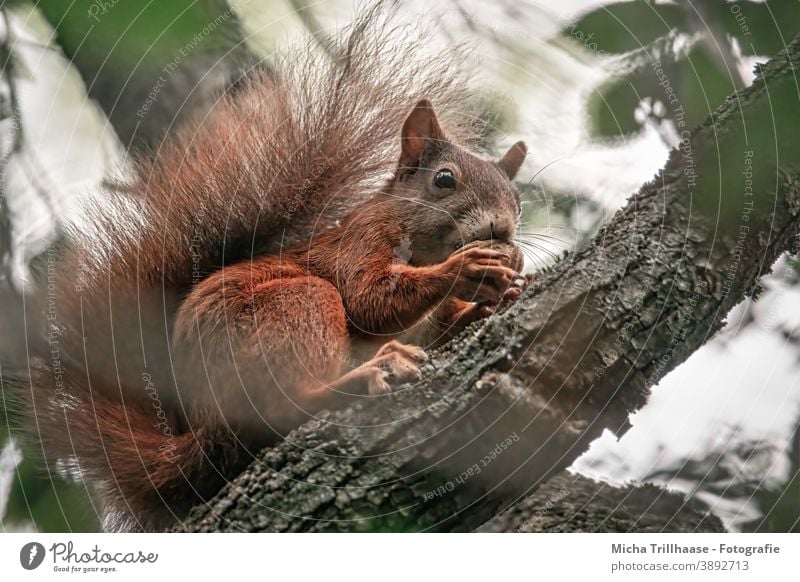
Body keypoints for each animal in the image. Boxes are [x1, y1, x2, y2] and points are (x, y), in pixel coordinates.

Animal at [15, 5, 528, 532]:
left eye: (519, 200)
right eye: (444, 180)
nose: (504, 230)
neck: (422, 245)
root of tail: (203, 432)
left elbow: (444, 322)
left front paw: (499, 293)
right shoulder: (358, 242)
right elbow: (370, 300)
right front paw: (468, 266)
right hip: (295, 304)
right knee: (285, 403)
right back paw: (367, 373)